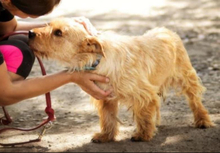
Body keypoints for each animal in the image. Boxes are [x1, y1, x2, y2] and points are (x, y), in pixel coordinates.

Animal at [28, 17, 214, 143]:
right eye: (49, 25)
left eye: (58, 33)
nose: (30, 33)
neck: (97, 59)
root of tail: (166, 30)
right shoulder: (106, 98)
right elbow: (108, 118)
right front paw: (106, 136)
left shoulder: (144, 94)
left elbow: (144, 115)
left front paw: (143, 134)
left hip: (187, 77)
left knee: (195, 99)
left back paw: (202, 120)